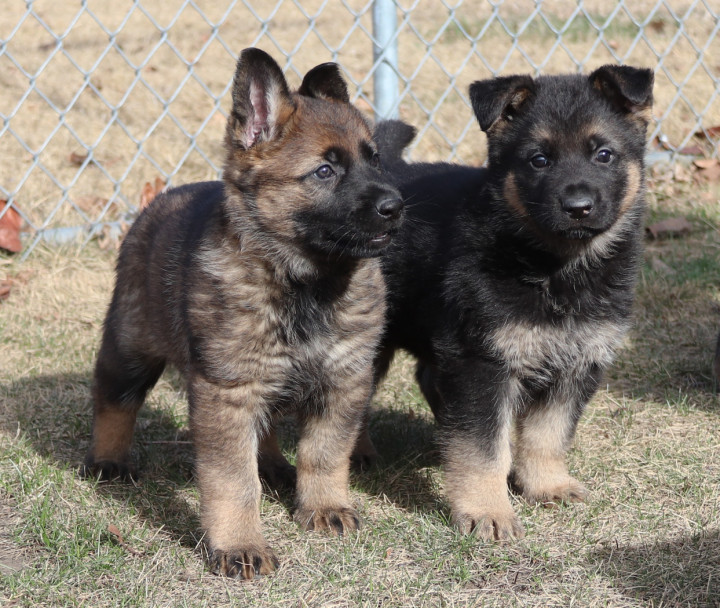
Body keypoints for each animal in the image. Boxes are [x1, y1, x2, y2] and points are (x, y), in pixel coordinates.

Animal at [83, 47, 404, 580]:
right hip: (131, 347)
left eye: (374, 159)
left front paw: (324, 506)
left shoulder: (343, 381)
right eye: (325, 171)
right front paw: (239, 544)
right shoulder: (226, 392)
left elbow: (325, 453)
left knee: (266, 427)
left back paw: (274, 468)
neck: (303, 283)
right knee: (114, 400)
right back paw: (108, 461)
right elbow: (233, 479)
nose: (396, 206)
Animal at [368, 65, 656, 540]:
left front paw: (546, 484)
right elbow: (482, 444)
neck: (555, 267)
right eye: (538, 160)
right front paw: (487, 511)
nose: (578, 206)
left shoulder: (578, 360)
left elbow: (547, 433)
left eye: (604, 155)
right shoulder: (482, 361)